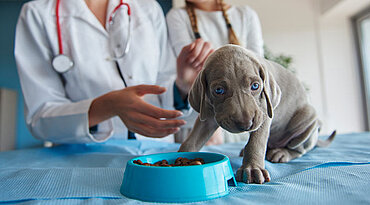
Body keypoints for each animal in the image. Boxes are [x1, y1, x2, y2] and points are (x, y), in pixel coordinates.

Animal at [179, 44, 336, 184]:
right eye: (218, 90)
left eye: (255, 86)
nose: (246, 124)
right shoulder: (207, 116)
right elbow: (192, 140)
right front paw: (180, 156)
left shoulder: (264, 113)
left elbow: (256, 142)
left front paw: (253, 169)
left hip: (308, 119)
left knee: (299, 148)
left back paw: (282, 153)